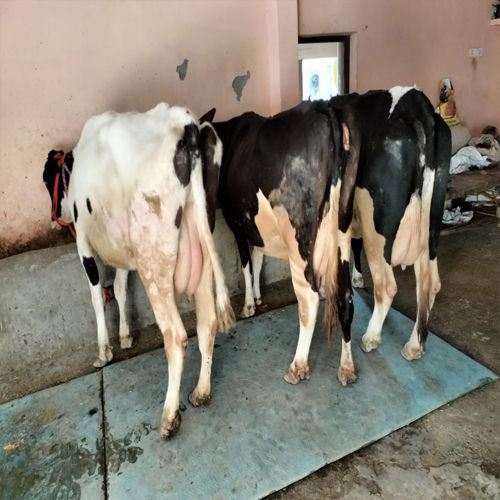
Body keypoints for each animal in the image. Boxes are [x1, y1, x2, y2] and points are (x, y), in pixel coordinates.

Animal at [42, 102, 234, 438]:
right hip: (201, 248)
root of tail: (185, 122)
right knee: (207, 323)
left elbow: (97, 297)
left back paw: (169, 416)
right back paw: (201, 392)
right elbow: (119, 288)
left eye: (45, 178)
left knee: (176, 336)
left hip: (153, 262)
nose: (55, 219)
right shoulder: (124, 252)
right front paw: (126, 336)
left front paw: (104, 350)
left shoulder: (84, 245)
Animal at [201, 99, 362, 384]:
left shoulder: (236, 223)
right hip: (343, 230)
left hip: (299, 241)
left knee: (308, 299)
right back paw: (346, 367)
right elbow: (258, 256)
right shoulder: (256, 225)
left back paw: (298, 365)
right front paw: (257, 296)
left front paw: (248, 304)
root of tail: (326, 108)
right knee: (346, 298)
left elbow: (246, 263)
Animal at [330, 86, 452, 360]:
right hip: (432, 220)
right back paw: (414, 345)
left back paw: (371, 337)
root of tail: (416, 103)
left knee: (386, 286)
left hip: (377, 223)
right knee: (430, 283)